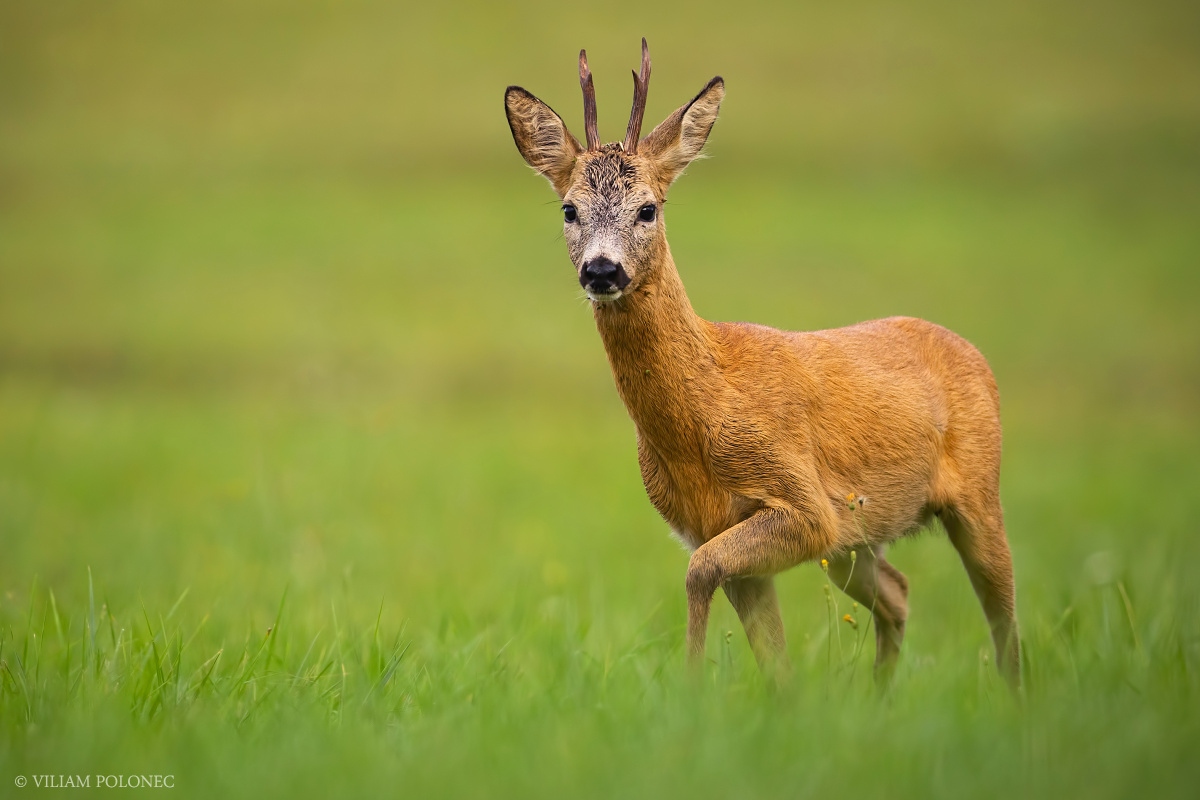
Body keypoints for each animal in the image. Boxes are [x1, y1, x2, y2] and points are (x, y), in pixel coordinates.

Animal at [501, 40, 1017, 686]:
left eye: (648, 209)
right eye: (568, 210)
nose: (601, 270)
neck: (701, 416)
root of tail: (970, 350)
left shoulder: (805, 503)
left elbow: (698, 571)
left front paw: (691, 685)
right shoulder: (723, 527)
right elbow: (771, 660)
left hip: (977, 491)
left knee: (1004, 615)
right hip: (856, 541)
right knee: (898, 592)